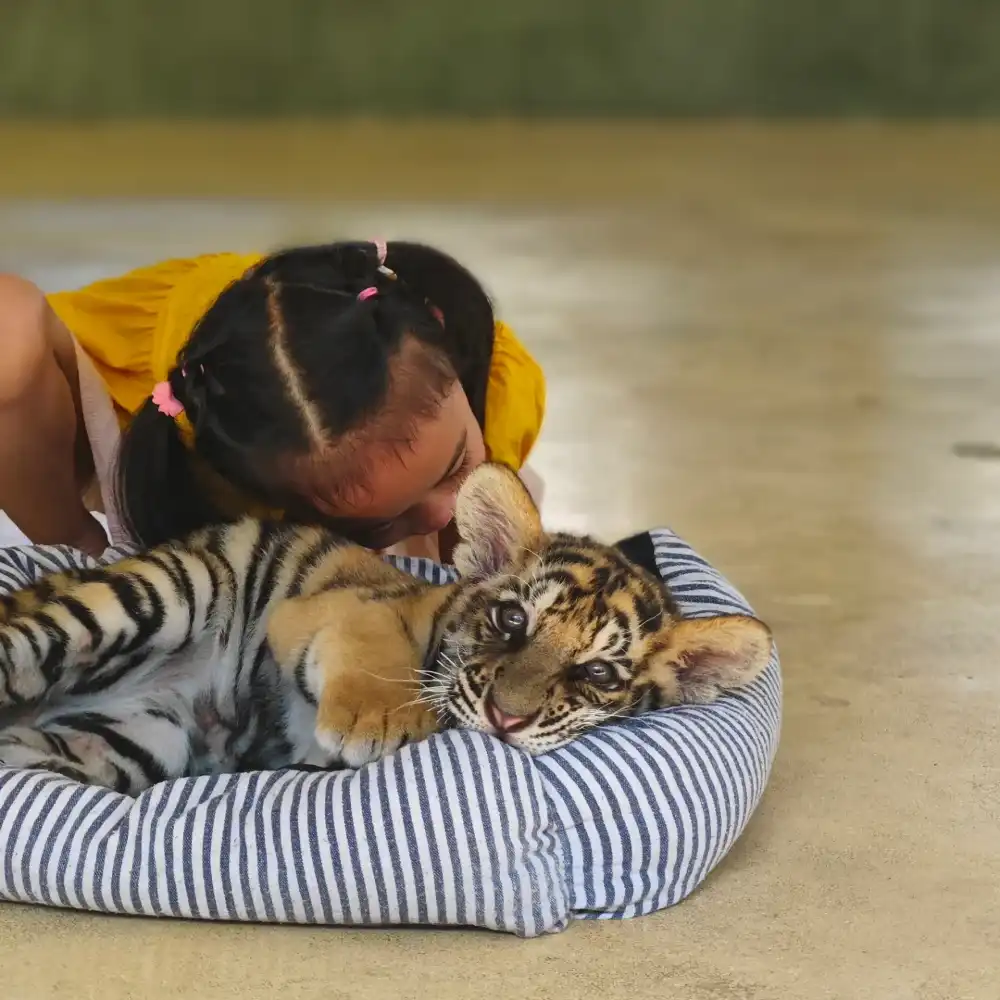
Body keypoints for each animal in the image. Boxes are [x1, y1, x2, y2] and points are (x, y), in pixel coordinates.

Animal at [0, 463, 772, 795]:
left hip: (133, 740)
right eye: (512, 619)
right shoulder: (335, 607)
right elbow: (379, 646)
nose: (506, 720)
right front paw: (379, 718)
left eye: (598, 673)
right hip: (164, 593)